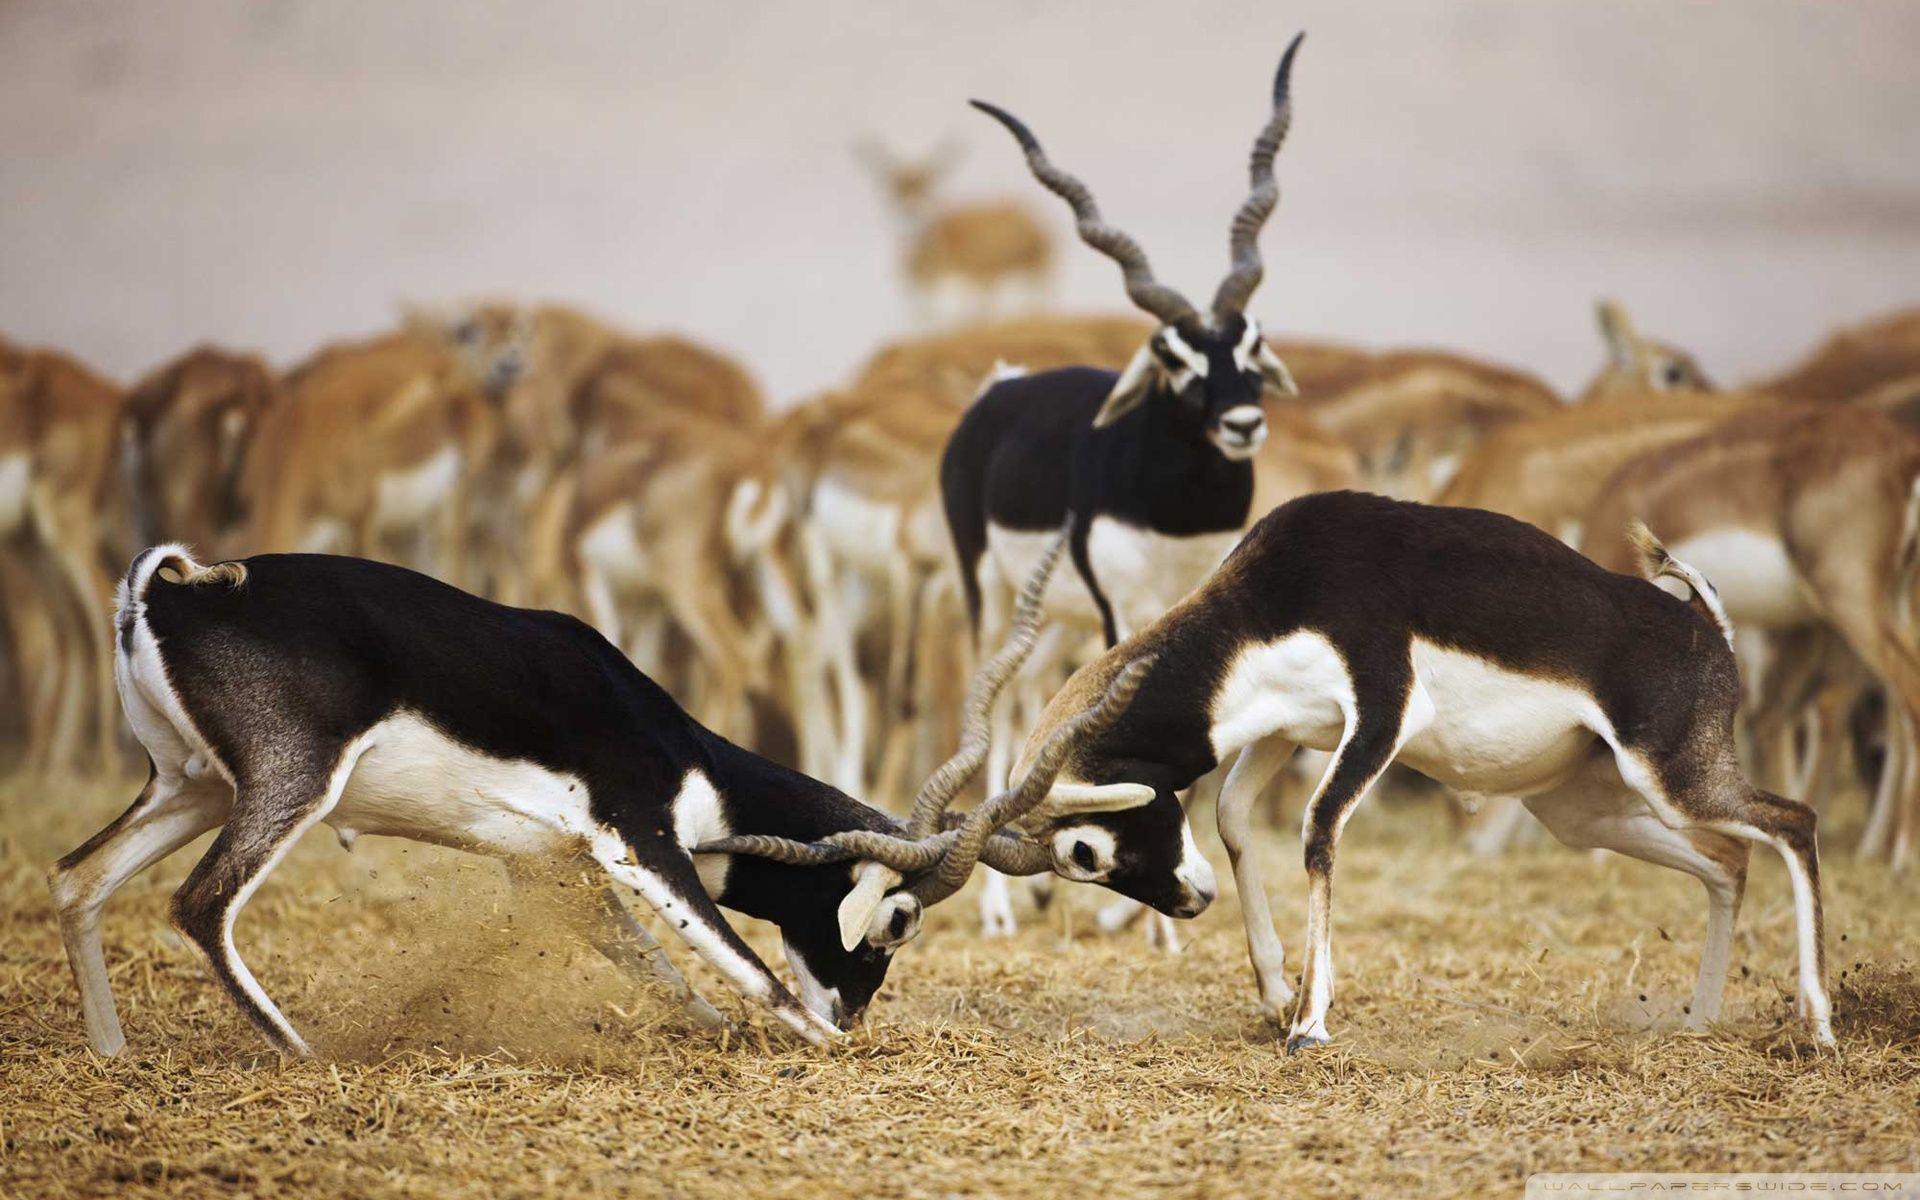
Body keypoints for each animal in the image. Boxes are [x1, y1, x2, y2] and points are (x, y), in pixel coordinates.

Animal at [47, 530, 1147, 1056]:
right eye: (901, 921)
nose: (854, 1014)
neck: (678, 745)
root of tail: (167, 594)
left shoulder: (551, 870)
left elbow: (659, 972)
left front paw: (716, 1037)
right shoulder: (638, 836)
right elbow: (745, 966)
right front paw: (815, 1043)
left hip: (191, 787)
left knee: (74, 878)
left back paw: (112, 1055)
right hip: (290, 783)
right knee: (201, 904)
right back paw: (304, 1054)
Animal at [942, 38, 1307, 936]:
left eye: (1253, 342)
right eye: (1173, 357)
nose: (1242, 422)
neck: (1175, 511)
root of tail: (1001, 387)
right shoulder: (1120, 606)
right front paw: (1151, 929)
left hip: (1050, 623)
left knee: (1031, 709)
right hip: (987, 596)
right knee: (992, 713)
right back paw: (1001, 911)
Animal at [1007, 489, 1835, 1050]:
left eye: (1082, 852)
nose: (1186, 903)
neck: (1274, 596)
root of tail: (1707, 627)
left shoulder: (1382, 713)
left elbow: (1317, 831)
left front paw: (1310, 1023)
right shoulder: (1287, 727)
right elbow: (1232, 815)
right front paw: (1276, 992)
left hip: (1673, 780)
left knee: (1794, 822)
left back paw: (1819, 1027)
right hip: (1586, 810)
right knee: (1728, 862)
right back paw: (1700, 1020)